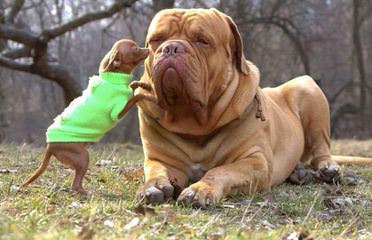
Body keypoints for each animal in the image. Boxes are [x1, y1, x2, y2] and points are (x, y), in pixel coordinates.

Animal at [22, 39, 148, 193]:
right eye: (135, 49)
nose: (148, 49)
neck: (113, 78)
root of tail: (50, 145)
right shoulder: (118, 112)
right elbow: (136, 96)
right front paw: (148, 95)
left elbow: (133, 85)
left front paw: (142, 84)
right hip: (83, 157)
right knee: (75, 185)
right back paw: (86, 193)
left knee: (77, 183)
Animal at [132, 8, 370, 207]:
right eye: (156, 40)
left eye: (202, 41)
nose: (171, 47)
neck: (193, 121)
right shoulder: (161, 159)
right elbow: (157, 171)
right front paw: (153, 186)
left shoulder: (255, 161)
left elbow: (220, 171)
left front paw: (199, 190)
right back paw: (298, 172)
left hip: (308, 88)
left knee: (322, 149)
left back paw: (327, 169)